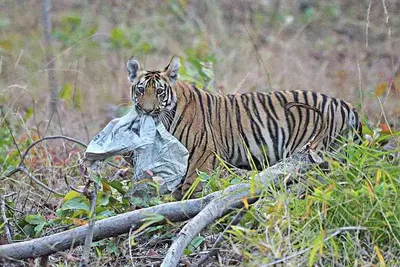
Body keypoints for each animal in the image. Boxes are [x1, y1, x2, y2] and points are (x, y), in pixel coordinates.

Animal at [126, 56, 362, 197]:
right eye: (140, 89)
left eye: (159, 91)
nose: (147, 110)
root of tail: (346, 104)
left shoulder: (202, 157)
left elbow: (194, 188)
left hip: (313, 151)